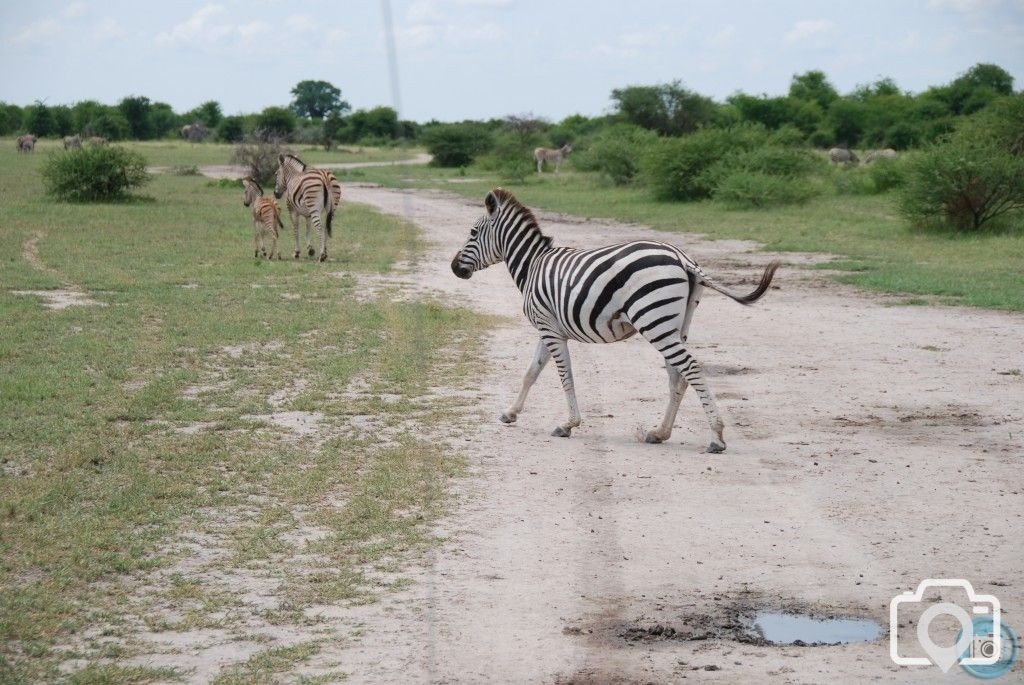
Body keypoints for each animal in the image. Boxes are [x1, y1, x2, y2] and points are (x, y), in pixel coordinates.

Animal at [452, 189, 778, 450]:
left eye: (472, 233)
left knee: (692, 367)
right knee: (677, 374)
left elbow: (564, 375)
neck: (533, 265)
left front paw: (568, 424)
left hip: (654, 320)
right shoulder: (548, 328)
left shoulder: (549, 328)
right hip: (676, 324)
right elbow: (531, 372)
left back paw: (716, 437)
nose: (455, 268)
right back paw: (660, 433)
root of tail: (683, 259)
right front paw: (511, 413)